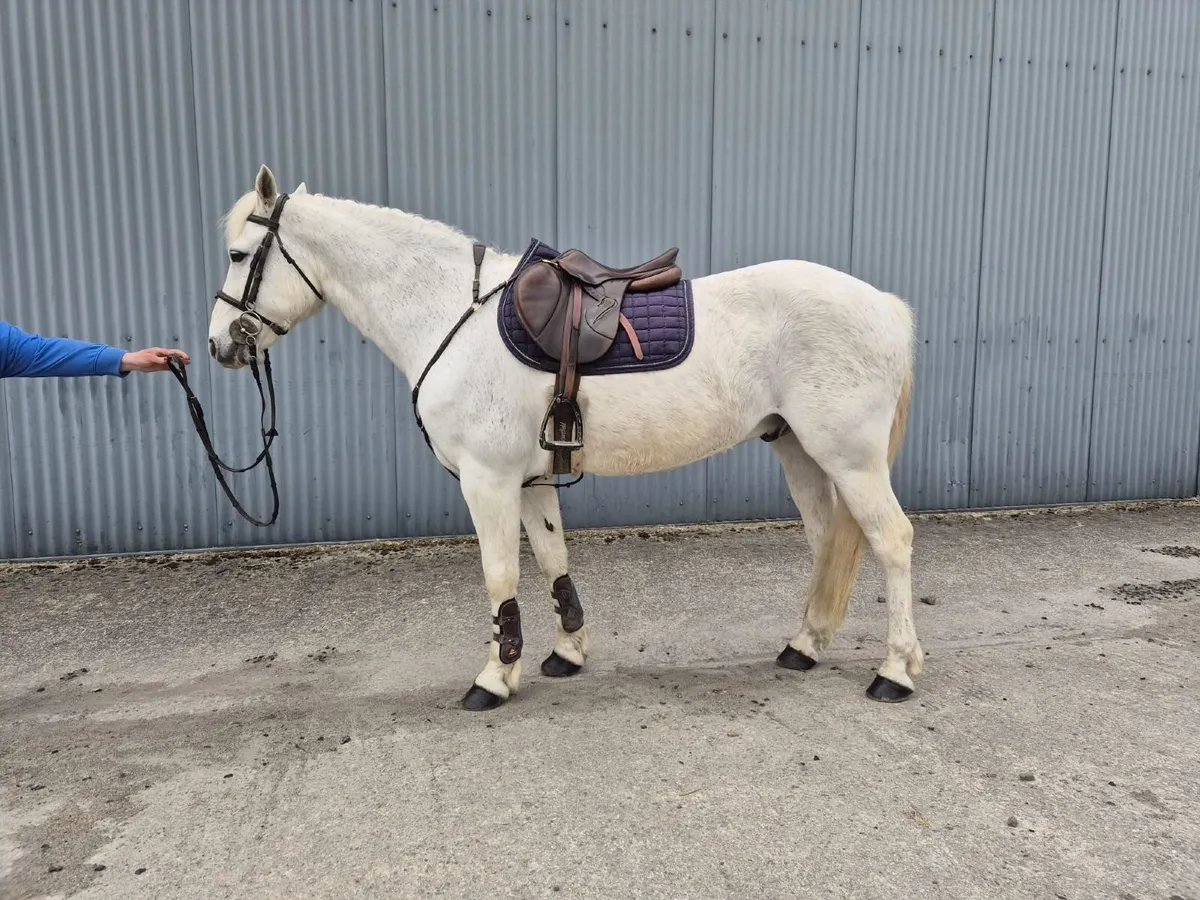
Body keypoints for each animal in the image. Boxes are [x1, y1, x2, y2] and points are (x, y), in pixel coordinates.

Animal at [206, 165, 922, 711]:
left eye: (239, 256)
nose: (218, 347)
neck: (452, 314)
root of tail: (887, 306)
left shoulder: (488, 479)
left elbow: (500, 576)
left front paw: (494, 678)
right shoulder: (530, 479)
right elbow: (553, 561)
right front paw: (566, 652)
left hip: (851, 460)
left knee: (891, 541)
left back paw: (895, 671)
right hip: (799, 451)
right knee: (829, 542)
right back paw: (805, 646)